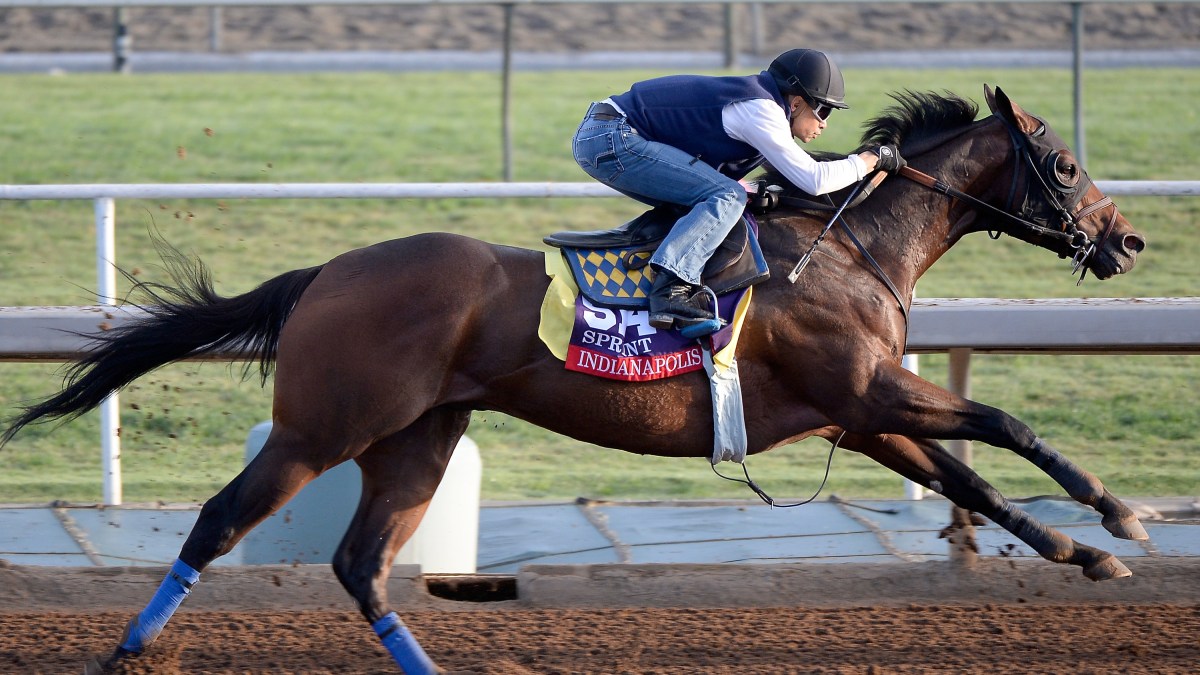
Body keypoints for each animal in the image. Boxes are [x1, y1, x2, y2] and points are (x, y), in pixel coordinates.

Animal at [3, 85, 1148, 674]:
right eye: (1066, 164)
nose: (1127, 241)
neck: (850, 249)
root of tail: (325, 272)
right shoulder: (866, 395)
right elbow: (1002, 424)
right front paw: (1118, 518)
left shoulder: (856, 413)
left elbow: (970, 476)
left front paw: (1082, 549)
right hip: (321, 429)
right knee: (218, 524)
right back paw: (125, 653)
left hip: (417, 437)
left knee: (363, 564)